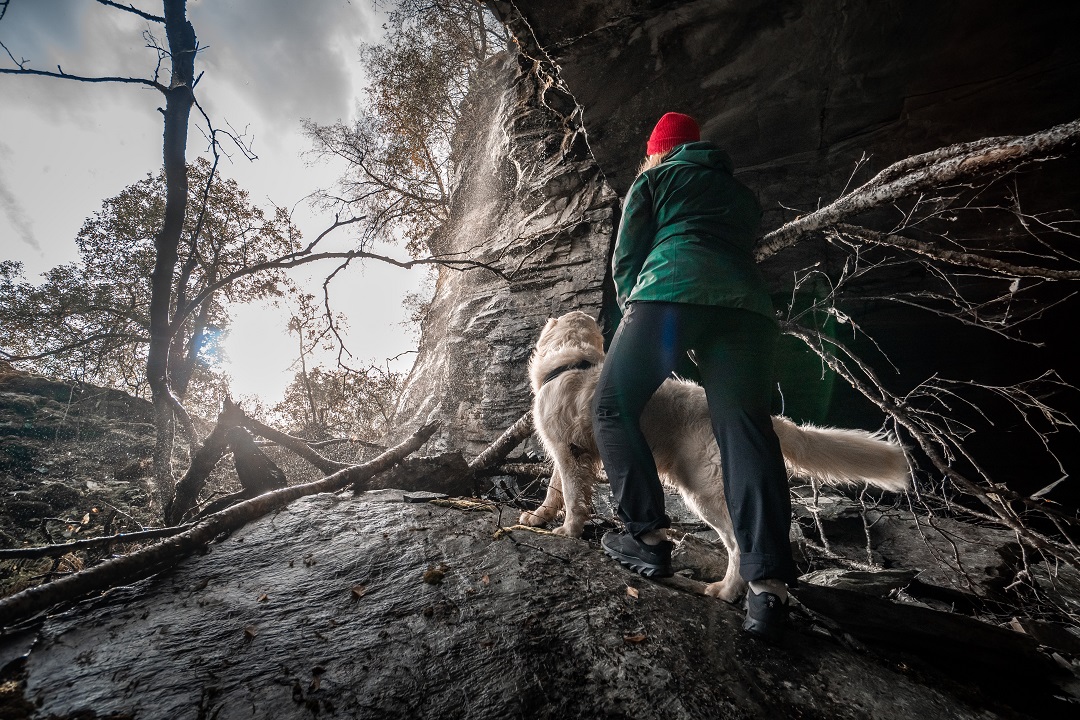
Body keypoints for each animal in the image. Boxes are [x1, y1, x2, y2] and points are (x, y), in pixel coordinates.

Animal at [518, 310, 907, 604]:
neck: (573, 362)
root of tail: (759, 419)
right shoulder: (566, 451)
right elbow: (554, 490)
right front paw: (539, 517)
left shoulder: (568, 451)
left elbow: (571, 496)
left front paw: (567, 530)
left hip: (704, 491)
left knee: (737, 545)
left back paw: (725, 590)